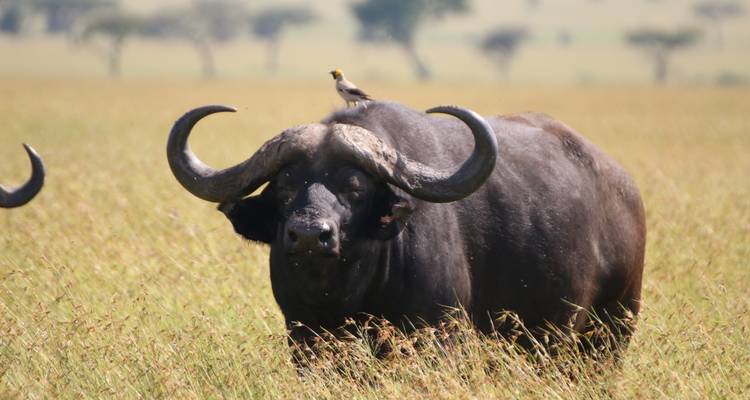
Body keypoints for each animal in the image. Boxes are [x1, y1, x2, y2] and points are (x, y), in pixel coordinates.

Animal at [167, 102, 645, 356]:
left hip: (611, 331)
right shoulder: (304, 339)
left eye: (355, 188)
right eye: (285, 186)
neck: (346, 296)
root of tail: (624, 188)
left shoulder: (439, 338)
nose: (309, 235)